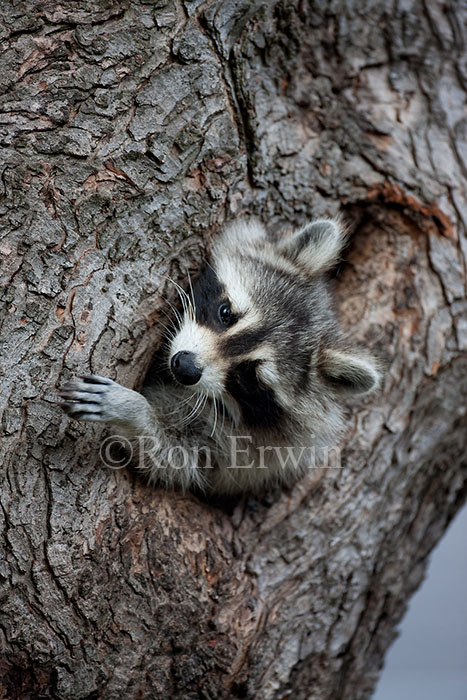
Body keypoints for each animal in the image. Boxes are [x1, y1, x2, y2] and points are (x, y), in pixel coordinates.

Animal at [59, 218, 381, 495]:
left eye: (250, 377)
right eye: (226, 313)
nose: (184, 366)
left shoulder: (235, 450)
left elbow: (174, 459)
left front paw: (132, 410)